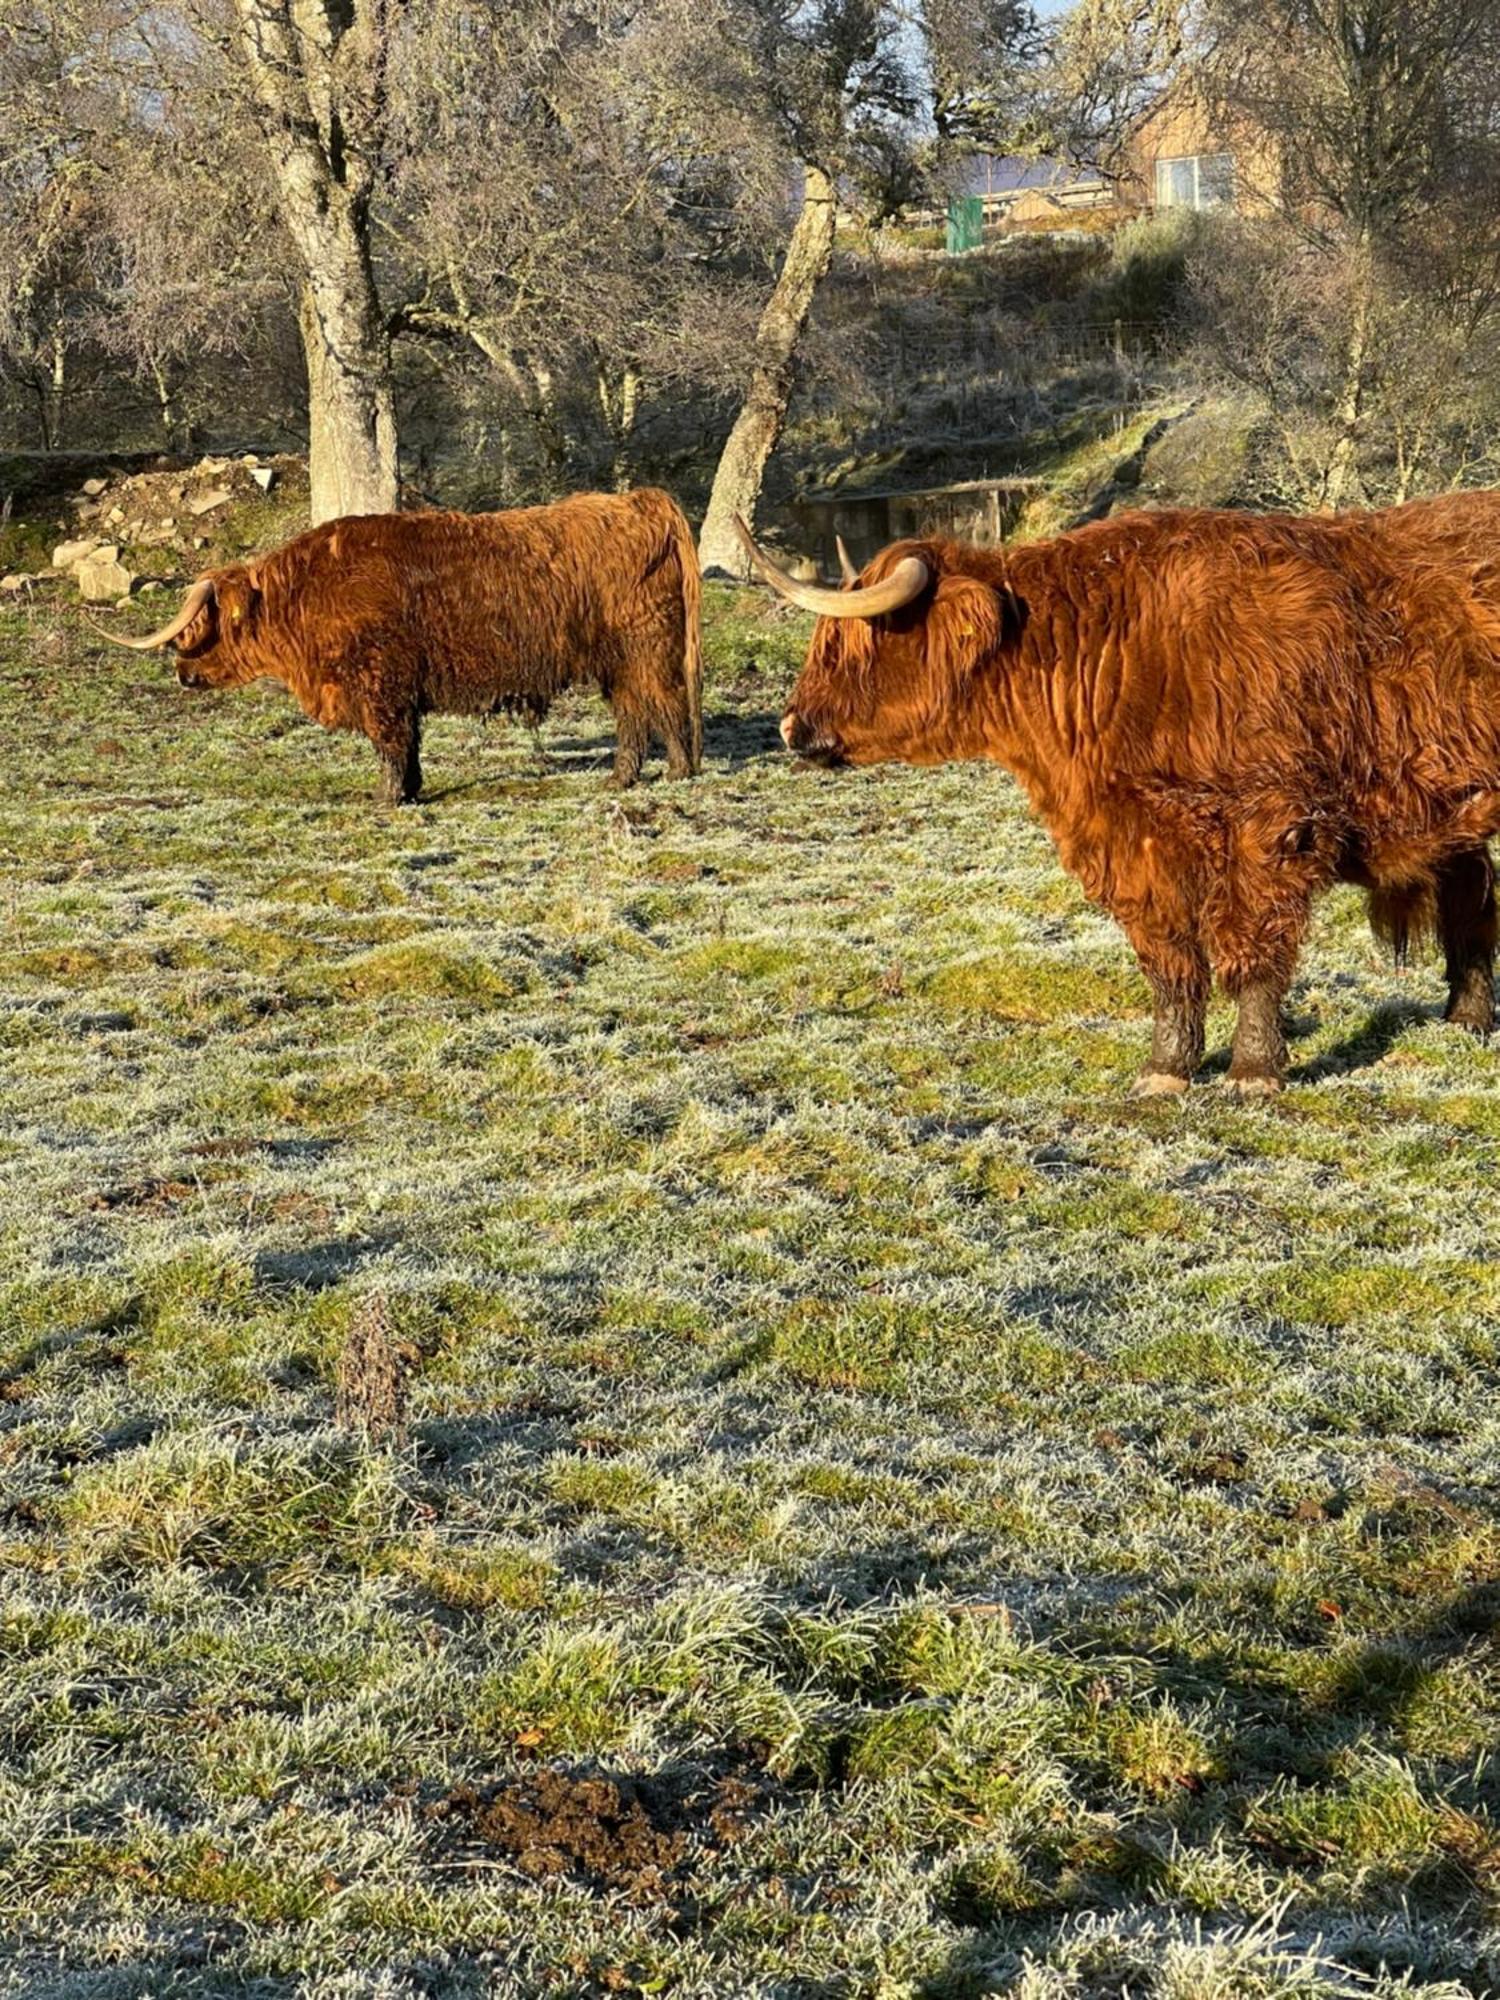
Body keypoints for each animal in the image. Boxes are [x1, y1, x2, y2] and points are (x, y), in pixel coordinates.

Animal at [98, 486, 704, 804]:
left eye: (201, 626)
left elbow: (391, 744)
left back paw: (678, 773)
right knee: (633, 714)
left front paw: (388, 798)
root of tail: (640, 501)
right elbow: (409, 745)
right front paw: (410, 791)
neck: (304, 597)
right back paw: (620, 778)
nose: (181, 672)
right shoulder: (400, 690)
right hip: (617, 663)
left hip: (647, 648)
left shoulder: (381, 684)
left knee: (667, 706)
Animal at [748, 496, 1500, 1096]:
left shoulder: (1269, 825)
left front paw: (1254, 1072)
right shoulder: (1129, 839)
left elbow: (1252, 948)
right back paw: (1465, 1021)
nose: (789, 727)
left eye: (853, 645)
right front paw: (1167, 1069)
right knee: (1471, 901)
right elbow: (1168, 959)